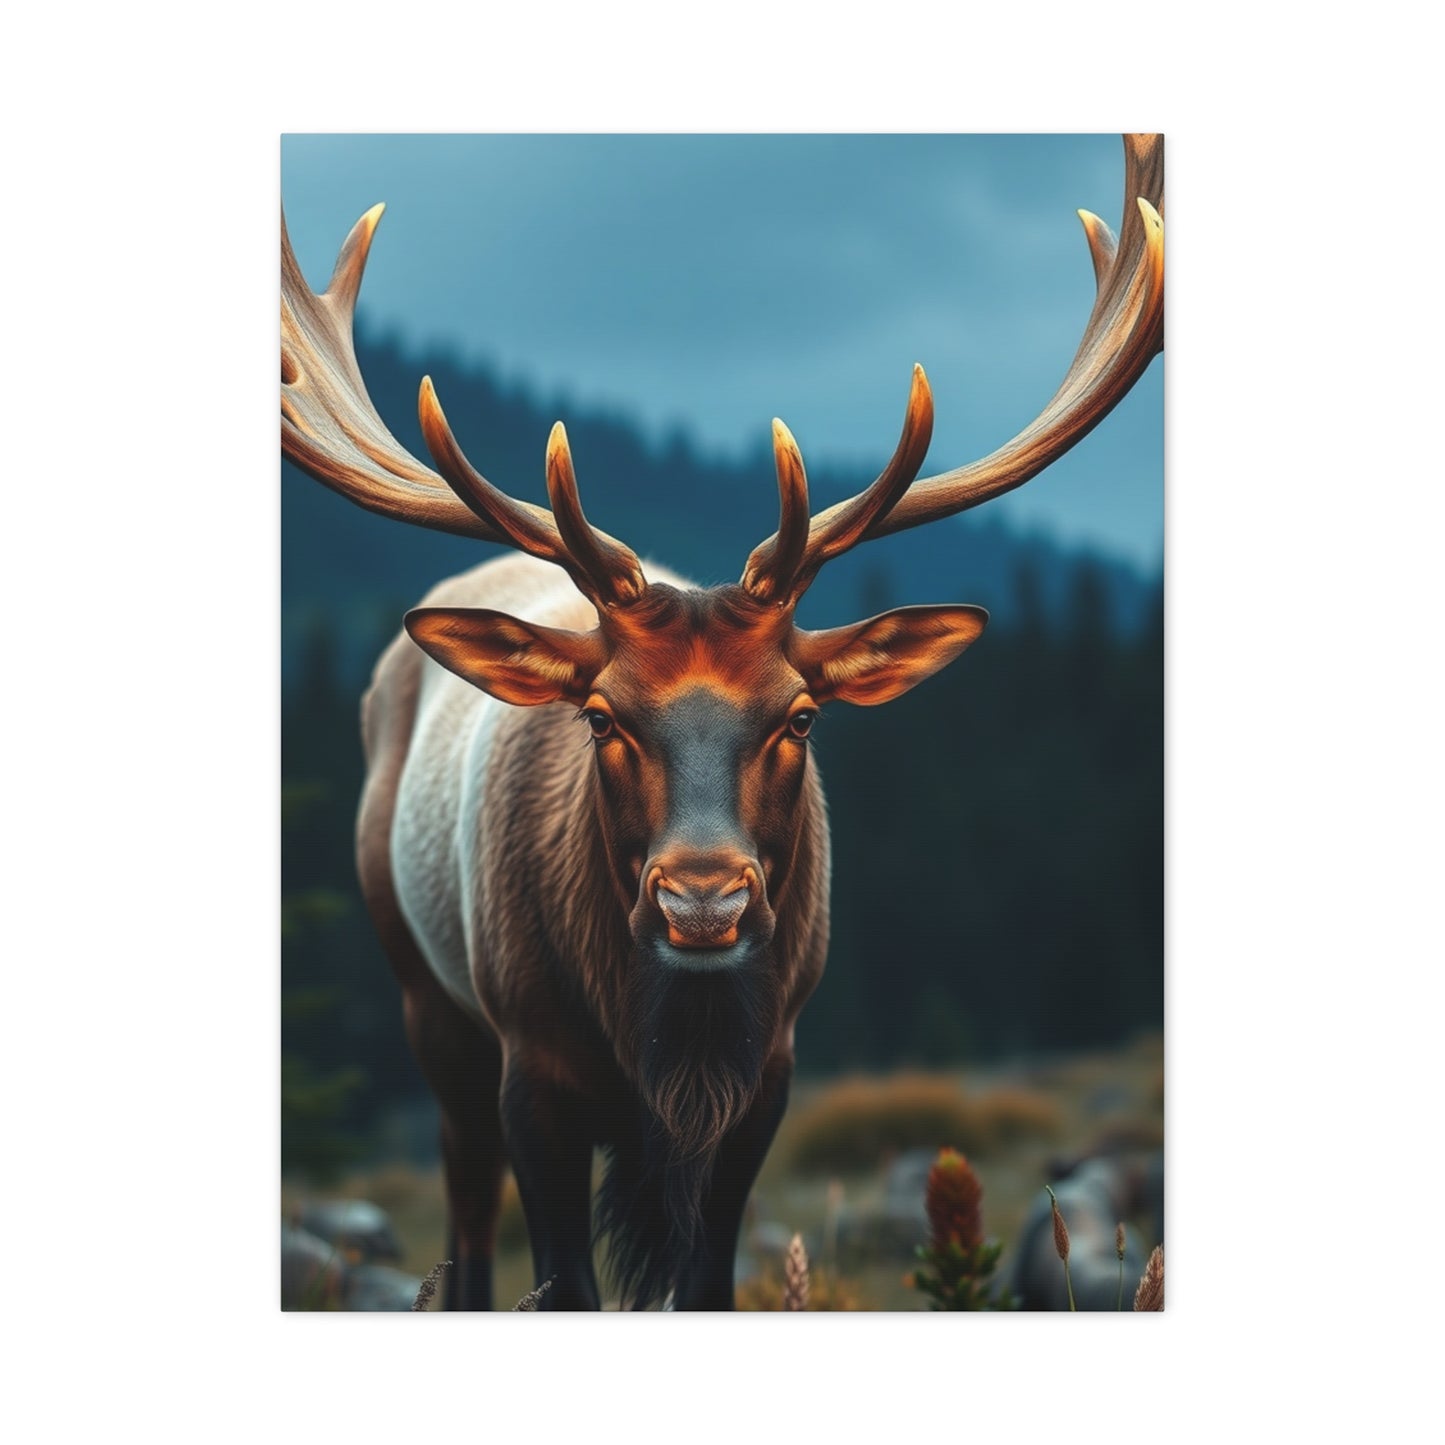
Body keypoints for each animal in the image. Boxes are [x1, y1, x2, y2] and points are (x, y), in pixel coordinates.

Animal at [281, 133, 1163, 1310]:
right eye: (600, 716)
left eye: (800, 716)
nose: (703, 900)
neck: (670, 1047)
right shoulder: (530, 1063)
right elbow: (560, 1278)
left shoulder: (769, 1075)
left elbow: (705, 1279)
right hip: (429, 996)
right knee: (463, 1221)